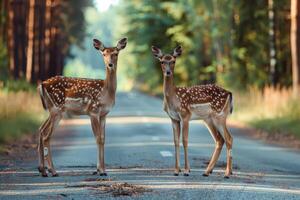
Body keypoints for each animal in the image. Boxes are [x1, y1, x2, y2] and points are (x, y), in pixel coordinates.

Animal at [37, 37, 127, 177]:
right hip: (57, 109)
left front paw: (102, 170)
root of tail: (42, 84)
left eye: (116, 54)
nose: (110, 64)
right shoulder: (93, 111)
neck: (106, 92)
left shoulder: (104, 114)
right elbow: (97, 138)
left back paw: (43, 170)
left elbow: (103, 139)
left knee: (41, 129)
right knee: (47, 136)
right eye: (104, 54)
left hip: (52, 109)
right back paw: (53, 171)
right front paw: (100, 171)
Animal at [151, 45, 233, 178]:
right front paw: (176, 170)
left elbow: (185, 141)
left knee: (228, 138)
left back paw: (226, 173)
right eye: (162, 61)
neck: (173, 98)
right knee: (219, 140)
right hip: (208, 119)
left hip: (219, 115)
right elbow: (176, 141)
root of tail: (229, 93)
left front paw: (186, 170)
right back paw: (208, 171)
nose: (168, 72)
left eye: (173, 61)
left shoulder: (185, 115)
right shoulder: (173, 118)